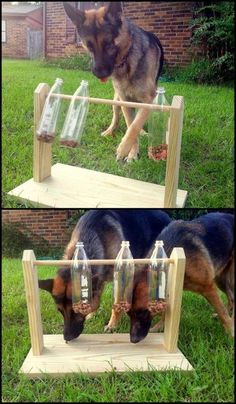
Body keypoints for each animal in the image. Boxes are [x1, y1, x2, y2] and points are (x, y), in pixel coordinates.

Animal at [38, 210, 171, 342]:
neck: (91, 234)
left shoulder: (120, 278)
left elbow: (116, 305)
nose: (66, 338)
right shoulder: (99, 279)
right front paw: (91, 315)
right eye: (60, 311)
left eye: (76, 312)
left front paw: (112, 326)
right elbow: (96, 301)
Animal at [63, 1, 164, 163]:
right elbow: (130, 124)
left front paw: (124, 148)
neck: (126, 61)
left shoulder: (149, 100)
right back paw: (110, 131)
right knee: (116, 117)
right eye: (89, 46)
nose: (99, 74)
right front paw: (132, 152)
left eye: (108, 44)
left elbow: (135, 125)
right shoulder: (125, 101)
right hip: (117, 100)